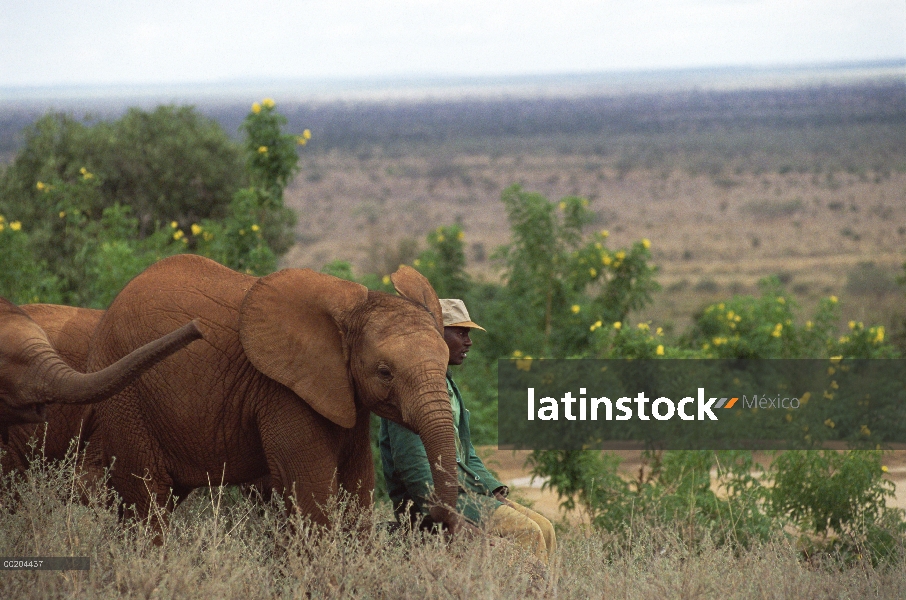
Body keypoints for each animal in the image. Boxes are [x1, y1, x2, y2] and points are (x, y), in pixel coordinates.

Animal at [80, 252, 462, 528]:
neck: (353, 309)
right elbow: (312, 494)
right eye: (385, 372)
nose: (433, 517)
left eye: (447, 362)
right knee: (147, 498)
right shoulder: (282, 390)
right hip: (125, 398)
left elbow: (358, 490)